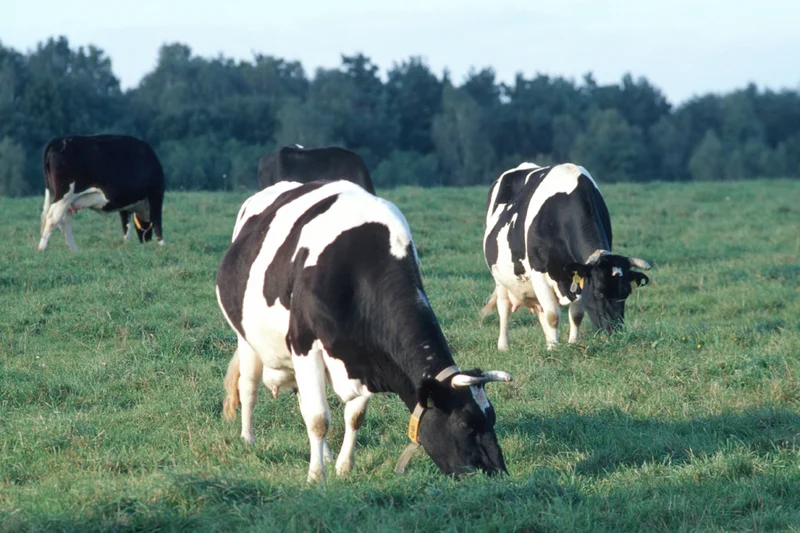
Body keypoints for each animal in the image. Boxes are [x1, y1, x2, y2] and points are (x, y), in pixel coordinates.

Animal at [217, 180, 513, 483]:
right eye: (465, 424)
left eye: (492, 417)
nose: (498, 473)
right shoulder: (304, 344)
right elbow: (318, 419)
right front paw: (316, 477)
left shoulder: (366, 357)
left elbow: (354, 416)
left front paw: (343, 467)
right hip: (247, 339)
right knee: (249, 387)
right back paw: (248, 441)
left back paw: (324, 454)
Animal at [482, 162, 651, 350]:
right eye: (599, 293)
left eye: (626, 293)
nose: (615, 333)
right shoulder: (539, 272)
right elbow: (552, 316)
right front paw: (554, 349)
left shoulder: (576, 277)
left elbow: (576, 315)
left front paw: (571, 343)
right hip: (500, 278)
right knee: (504, 307)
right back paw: (504, 346)